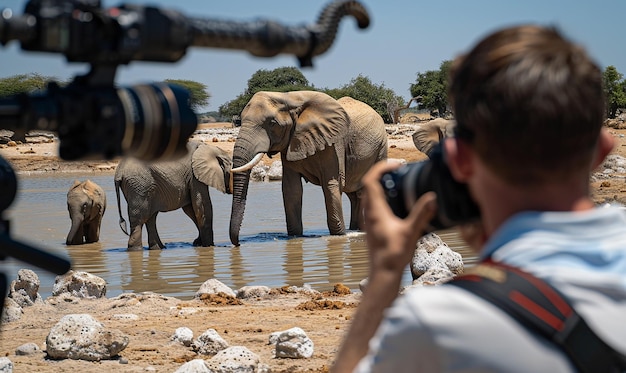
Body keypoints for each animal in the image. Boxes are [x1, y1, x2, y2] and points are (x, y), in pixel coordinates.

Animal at [228, 88, 386, 243]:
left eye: (272, 123)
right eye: (240, 121)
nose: (238, 243)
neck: (289, 97)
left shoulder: (333, 144)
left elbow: (331, 185)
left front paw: (339, 237)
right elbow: (292, 189)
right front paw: (295, 238)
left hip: (381, 147)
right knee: (354, 194)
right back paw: (355, 229)